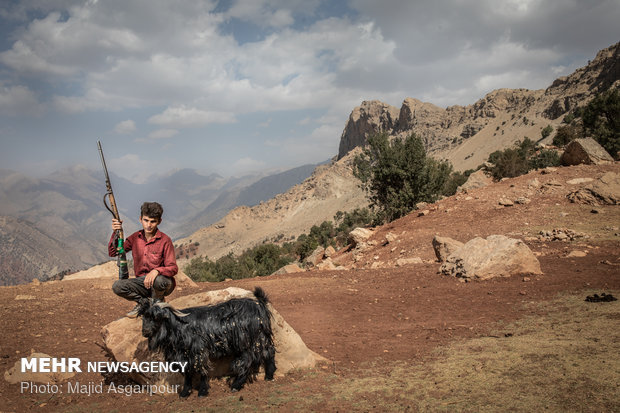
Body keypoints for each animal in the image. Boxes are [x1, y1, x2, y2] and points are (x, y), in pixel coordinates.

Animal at [140, 286, 278, 396]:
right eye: (144, 317)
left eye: (156, 317)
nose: (145, 332)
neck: (178, 326)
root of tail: (260, 305)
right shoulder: (183, 356)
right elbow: (187, 372)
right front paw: (185, 392)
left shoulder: (198, 351)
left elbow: (202, 370)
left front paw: (202, 391)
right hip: (261, 337)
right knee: (268, 352)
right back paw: (269, 376)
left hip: (247, 342)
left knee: (247, 361)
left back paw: (236, 385)